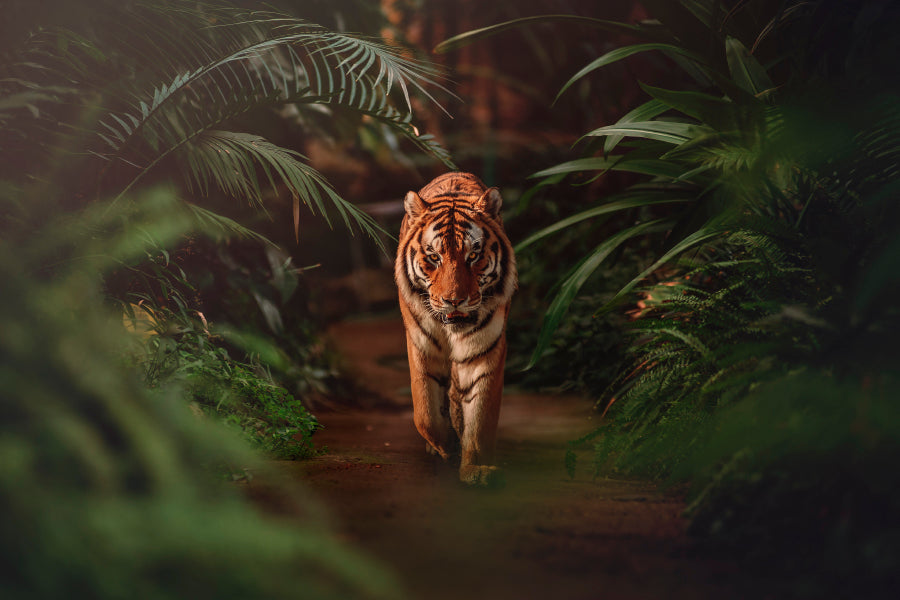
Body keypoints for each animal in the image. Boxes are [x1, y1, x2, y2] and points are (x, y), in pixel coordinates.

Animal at [394, 172, 517, 486]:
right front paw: (445, 445)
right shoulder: (421, 347)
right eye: (434, 257)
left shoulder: (484, 351)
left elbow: (480, 418)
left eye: (473, 256)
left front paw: (476, 468)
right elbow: (425, 412)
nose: (454, 300)